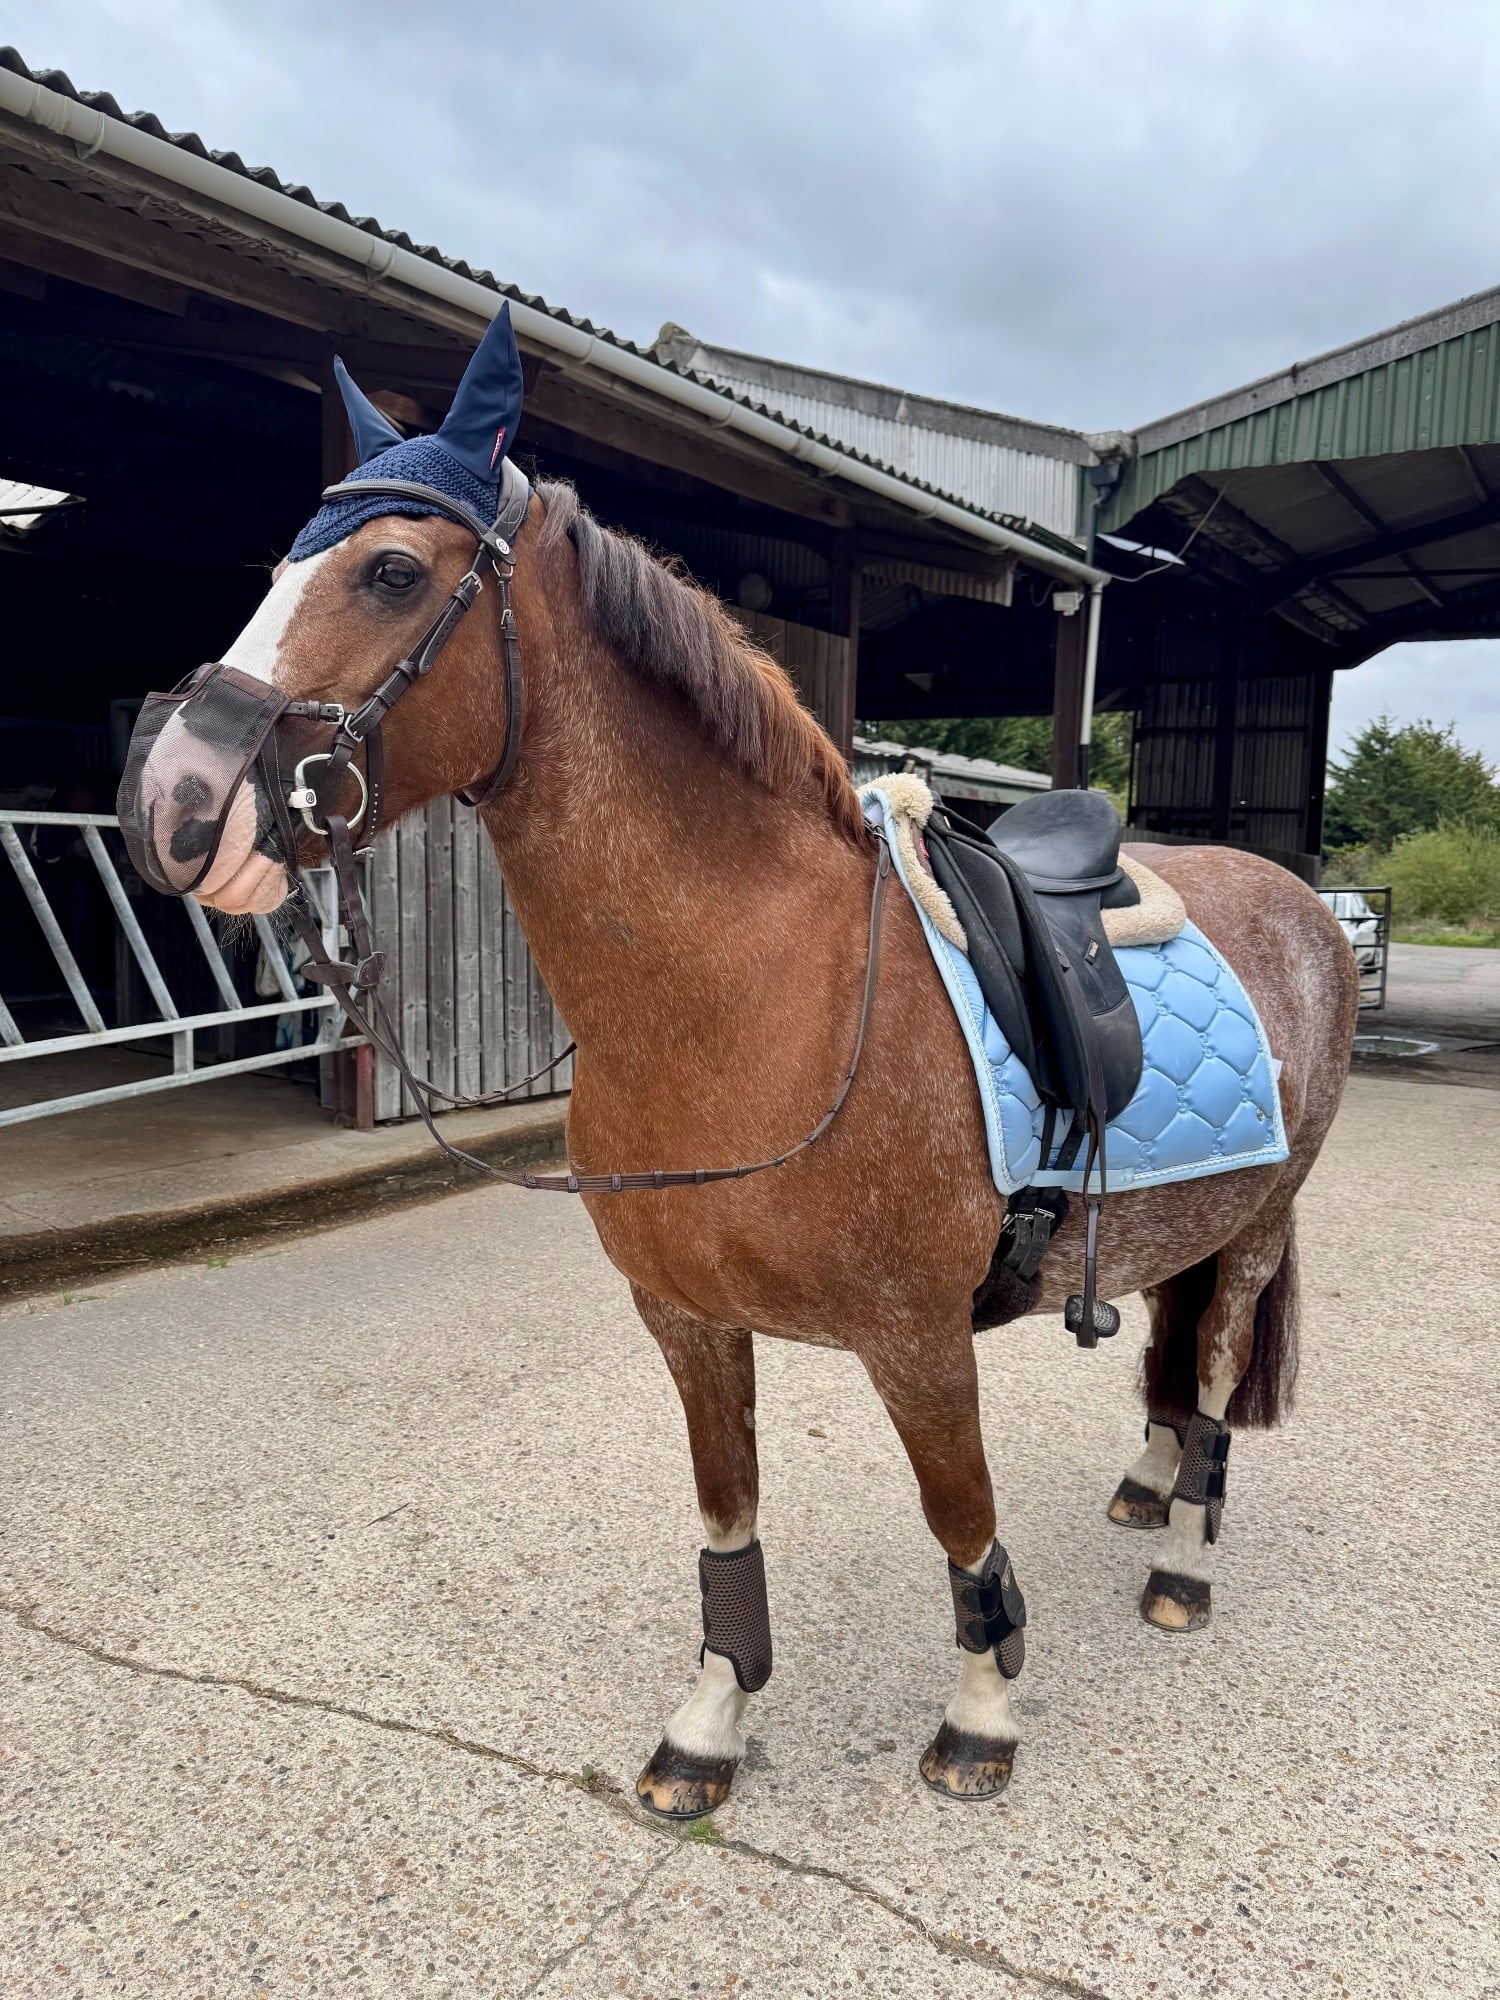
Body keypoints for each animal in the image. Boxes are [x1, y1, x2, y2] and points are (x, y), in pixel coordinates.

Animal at [120, 312, 1359, 1817]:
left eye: (392, 570)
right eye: (274, 570)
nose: (173, 801)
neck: (756, 993)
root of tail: (1298, 900)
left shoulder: (918, 1338)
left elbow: (962, 1517)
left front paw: (980, 1718)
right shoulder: (687, 1322)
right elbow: (726, 1524)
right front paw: (709, 1728)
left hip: (1266, 1217)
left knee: (1221, 1353)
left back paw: (1183, 1554)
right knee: (1175, 1340)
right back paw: (1147, 1481)